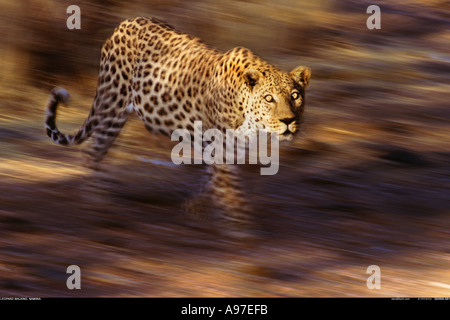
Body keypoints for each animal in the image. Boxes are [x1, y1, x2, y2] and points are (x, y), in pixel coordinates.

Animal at [45, 16, 312, 238]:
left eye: (295, 96)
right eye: (269, 98)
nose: (288, 121)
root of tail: (124, 23)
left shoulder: (225, 149)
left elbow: (212, 181)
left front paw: (195, 208)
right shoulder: (222, 149)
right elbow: (230, 189)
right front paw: (241, 228)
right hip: (113, 107)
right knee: (92, 150)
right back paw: (96, 201)